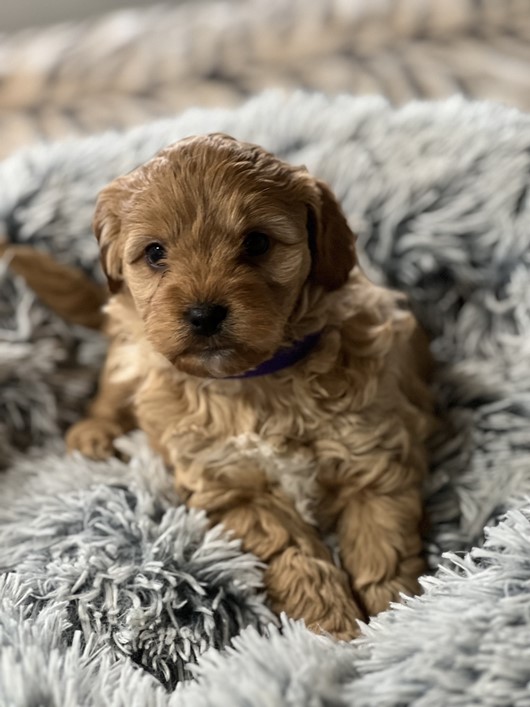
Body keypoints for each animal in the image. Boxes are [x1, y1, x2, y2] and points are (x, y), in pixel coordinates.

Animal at [62, 134, 434, 640]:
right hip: (129, 346)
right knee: (112, 388)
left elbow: (382, 547)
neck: (257, 381)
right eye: (155, 252)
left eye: (257, 242)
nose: (204, 314)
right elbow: (291, 553)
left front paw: (394, 623)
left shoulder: (373, 457)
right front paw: (328, 628)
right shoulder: (232, 488)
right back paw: (94, 433)